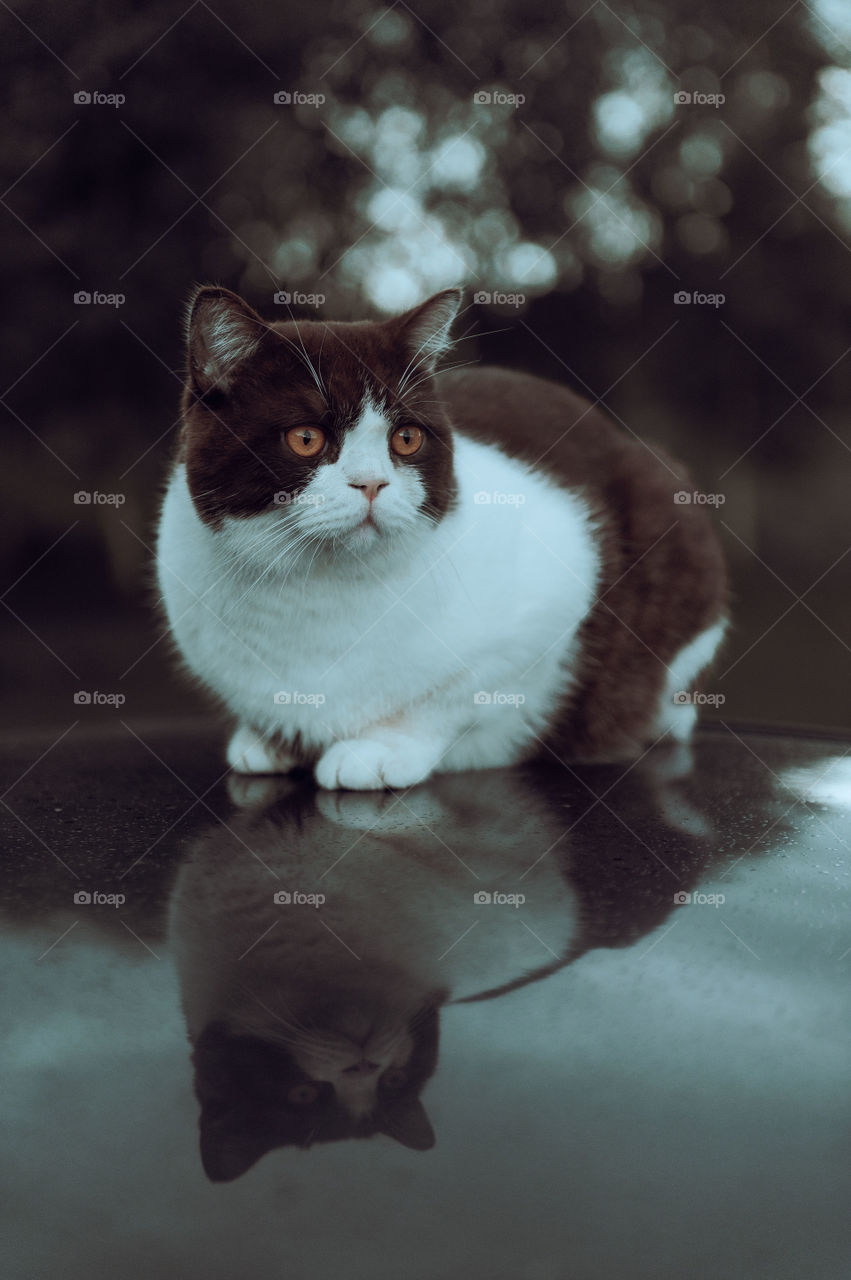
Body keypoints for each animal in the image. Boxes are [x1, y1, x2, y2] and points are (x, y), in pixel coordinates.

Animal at [156, 288, 726, 788]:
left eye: (406, 438)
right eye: (305, 438)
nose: (371, 483)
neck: (317, 591)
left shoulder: (554, 591)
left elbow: (450, 699)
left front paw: (378, 748)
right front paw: (268, 740)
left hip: (670, 507)